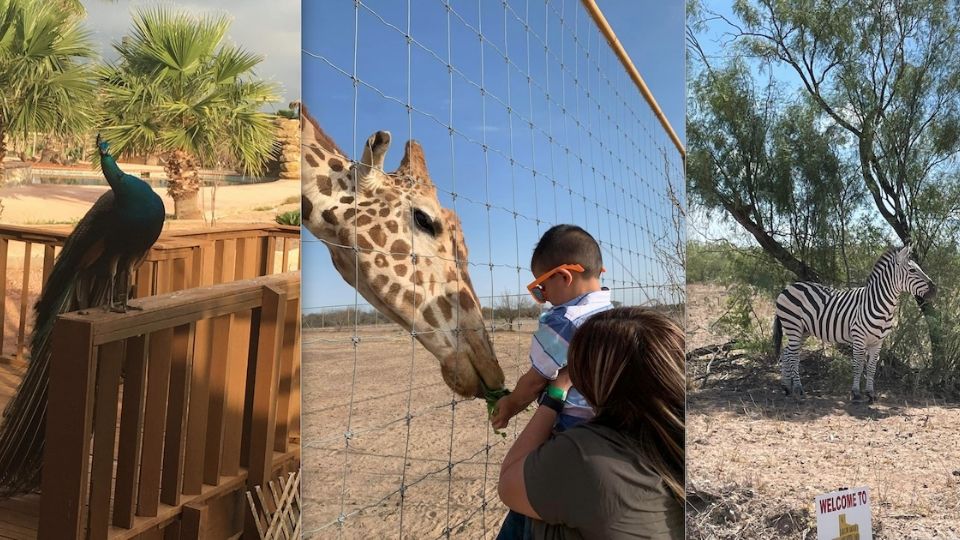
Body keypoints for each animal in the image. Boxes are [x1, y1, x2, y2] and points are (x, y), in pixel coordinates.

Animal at [772, 247, 936, 402]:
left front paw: (870, 393)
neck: (879, 304)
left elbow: (871, 367)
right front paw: (856, 393)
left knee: (787, 352)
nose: (935, 290)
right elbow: (858, 365)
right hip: (793, 325)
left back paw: (787, 387)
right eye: (912, 270)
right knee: (793, 355)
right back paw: (798, 389)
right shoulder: (859, 338)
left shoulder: (878, 341)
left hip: (803, 330)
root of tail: (788, 287)